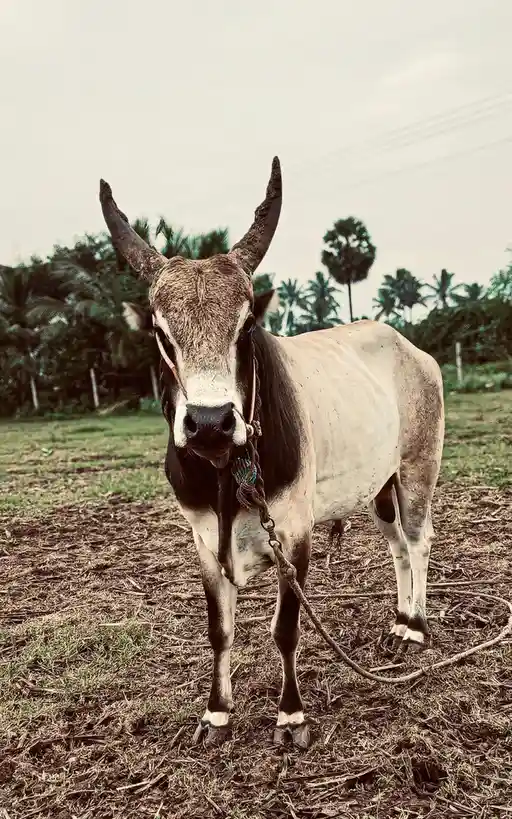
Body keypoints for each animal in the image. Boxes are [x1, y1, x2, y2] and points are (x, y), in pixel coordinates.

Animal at [99, 158, 444, 748]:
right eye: (163, 335)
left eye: (245, 327)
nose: (210, 423)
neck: (226, 473)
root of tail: (411, 349)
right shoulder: (202, 539)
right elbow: (219, 629)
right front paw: (216, 713)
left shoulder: (293, 531)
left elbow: (286, 630)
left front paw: (291, 715)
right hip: (379, 488)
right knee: (398, 545)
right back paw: (401, 620)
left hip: (419, 466)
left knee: (419, 540)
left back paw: (417, 628)